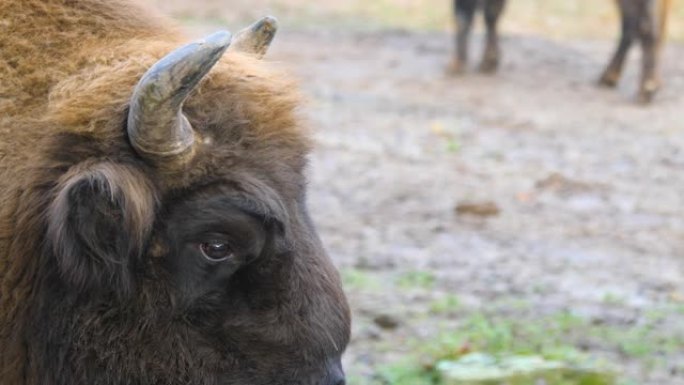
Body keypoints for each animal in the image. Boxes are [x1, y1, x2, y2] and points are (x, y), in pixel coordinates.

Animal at [448, 0, 672, 102]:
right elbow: (491, 14)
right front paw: (488, 62)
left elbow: (464, 15)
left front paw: (456, 65)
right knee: (633, 25)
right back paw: (610, 77)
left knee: (644, 25)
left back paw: (646, 88)